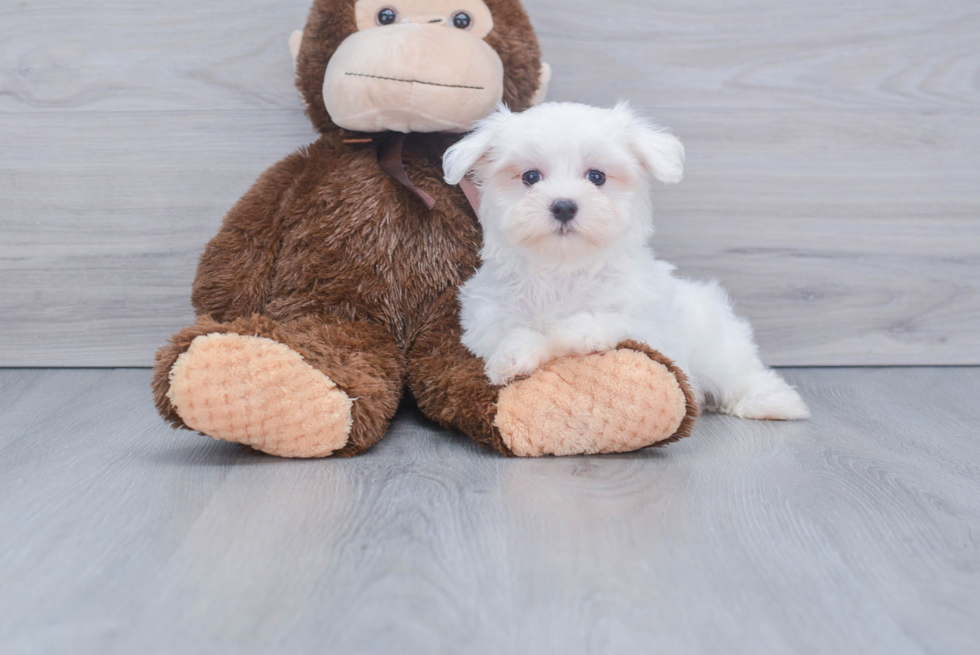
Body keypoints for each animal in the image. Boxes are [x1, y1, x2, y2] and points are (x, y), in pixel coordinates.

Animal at [446, 102, 812, 420]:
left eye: (596, 177)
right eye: (531, 177)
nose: (564, 205)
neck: (564, 268)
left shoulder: (651, 327)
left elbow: (607, 321)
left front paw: (576, 331)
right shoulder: (486, 320)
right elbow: (515, 333)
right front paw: (513, 356)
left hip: (718, 348)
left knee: (741, 373)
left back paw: (772, 402)